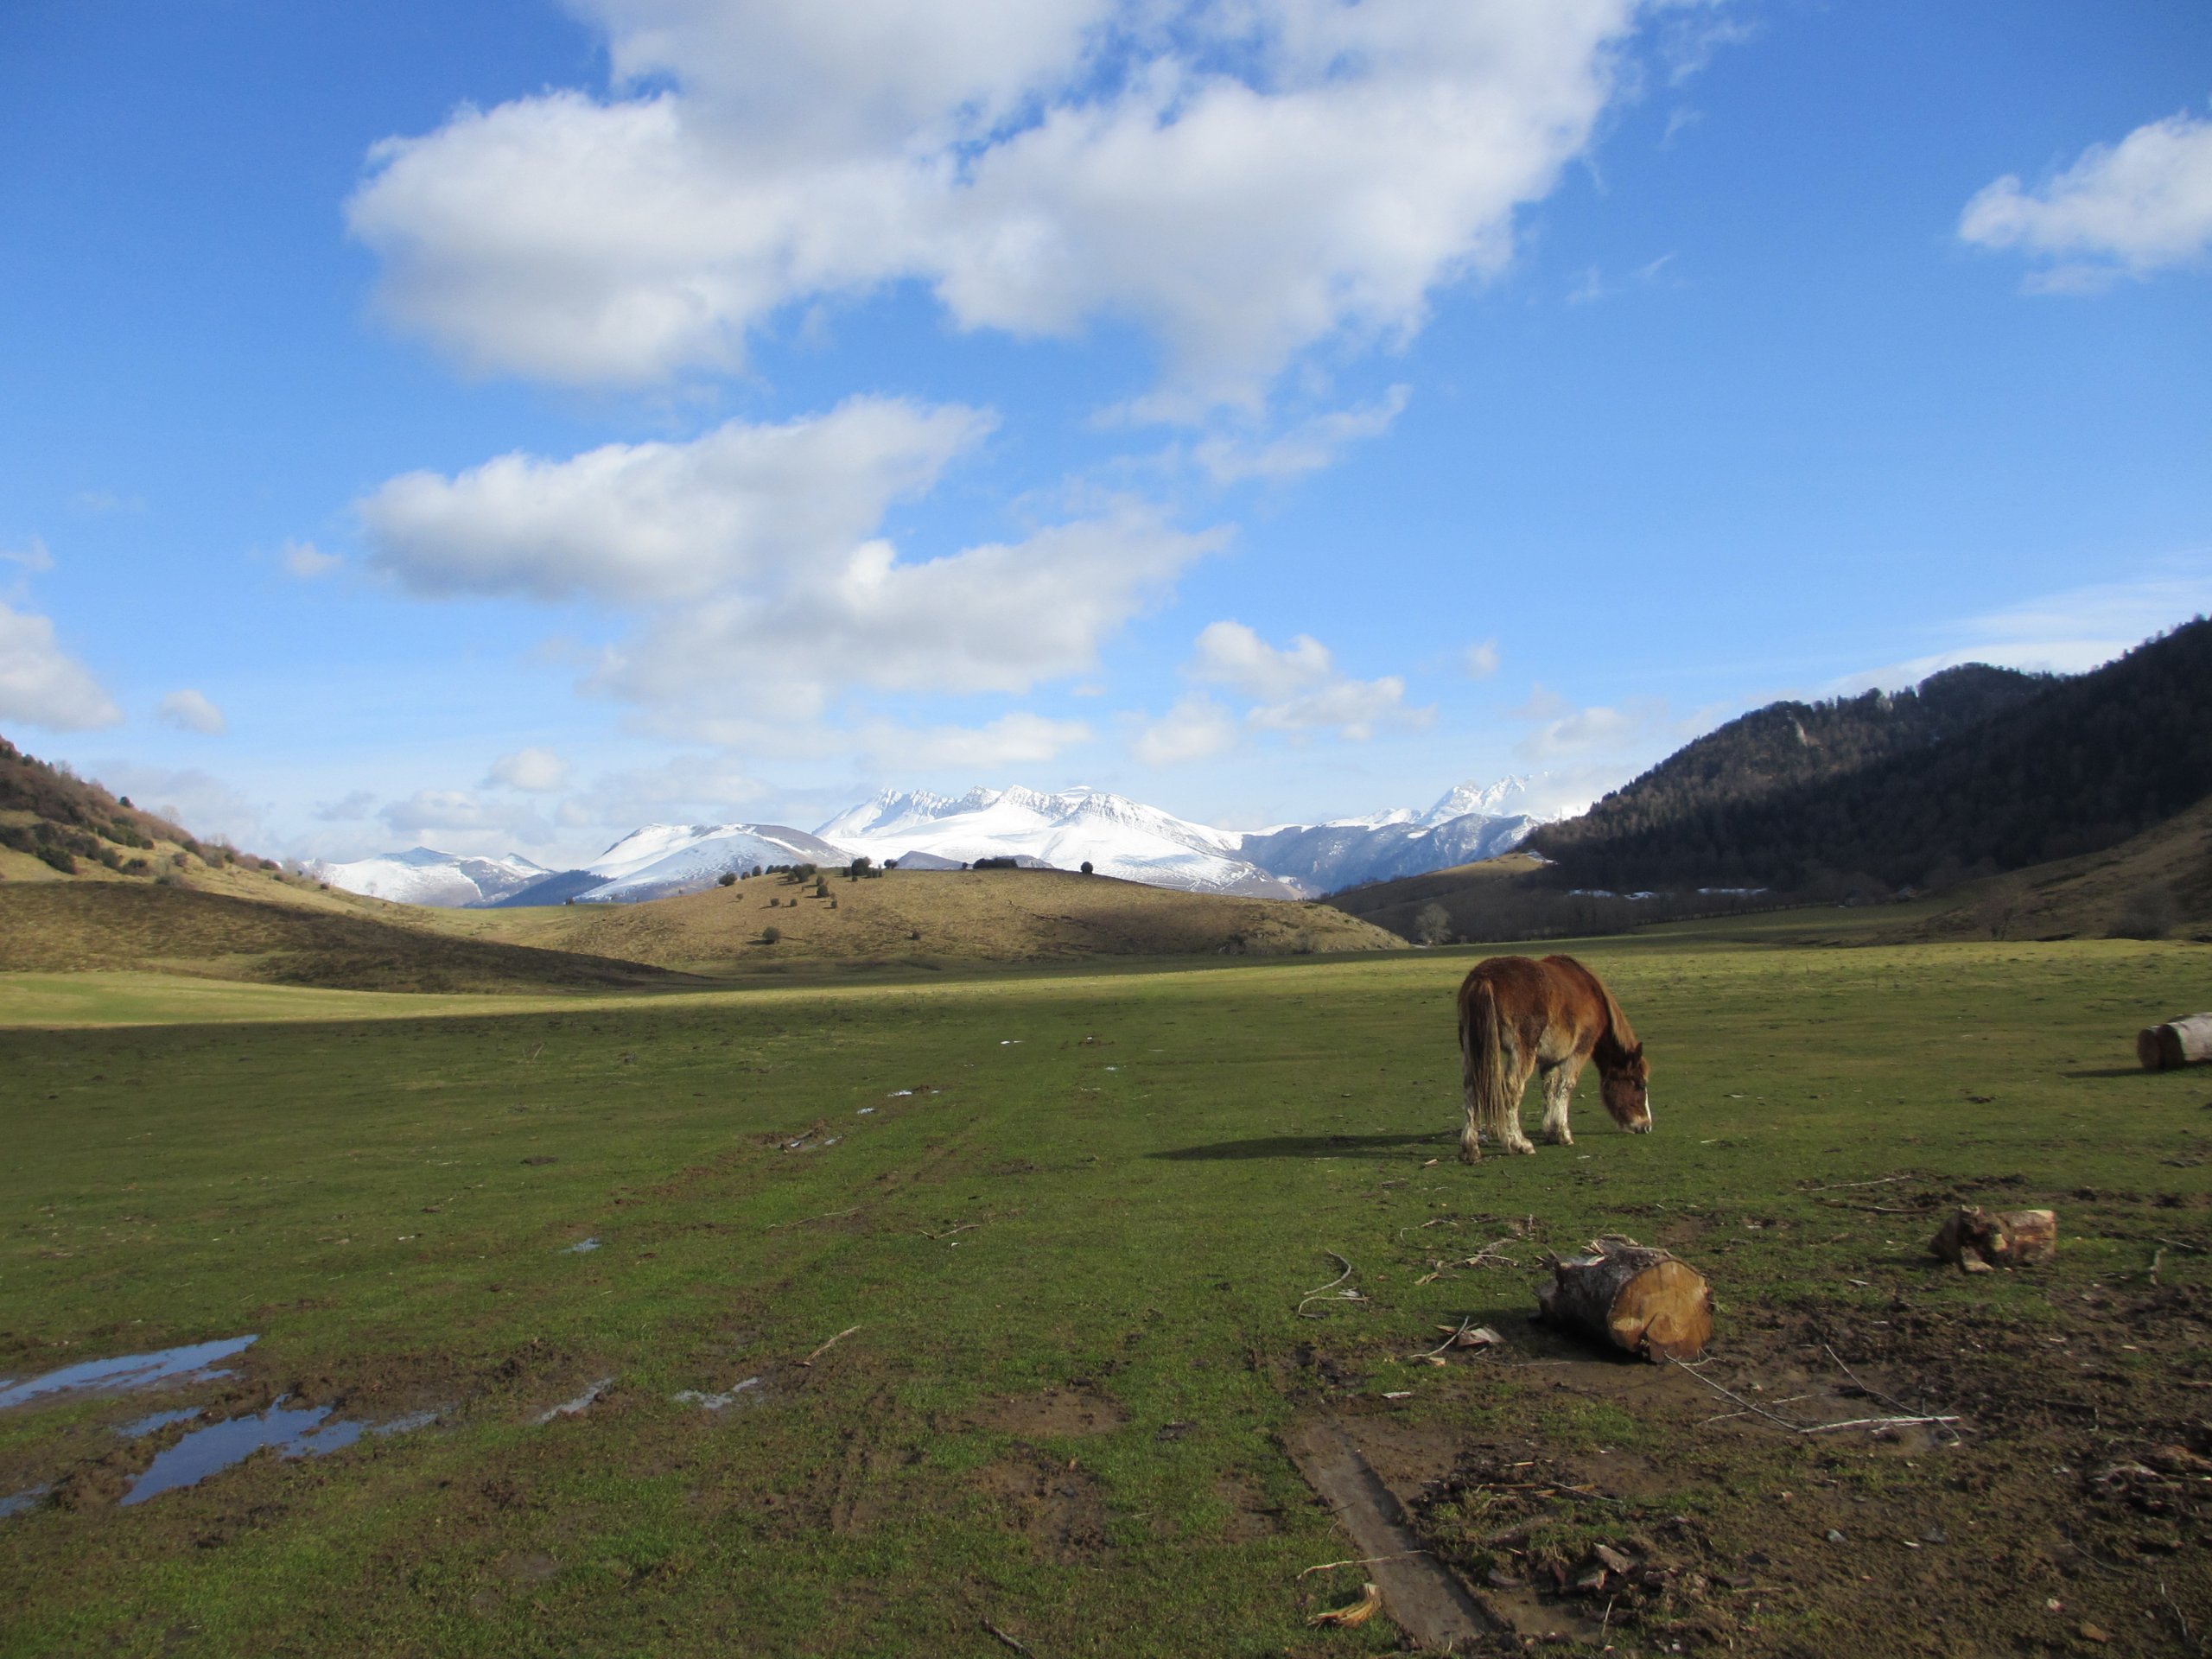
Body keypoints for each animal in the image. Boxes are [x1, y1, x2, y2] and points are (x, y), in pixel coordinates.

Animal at [1459, 955, 1654, 1159]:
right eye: (1640, 1085)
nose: (1646, 1126)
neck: (1594, 996)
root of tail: (1484, 978)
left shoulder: (1550, 1059)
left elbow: (1549, 1089)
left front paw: (1550, 1131)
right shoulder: (1579, 1052)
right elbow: (1566, 1087)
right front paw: (1563, 1134)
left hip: (1472, 1050)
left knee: (1470, 1088)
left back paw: (1470, 1148)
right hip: (1521, 1051)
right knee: (1512, 1089)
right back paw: (1519, 1143)